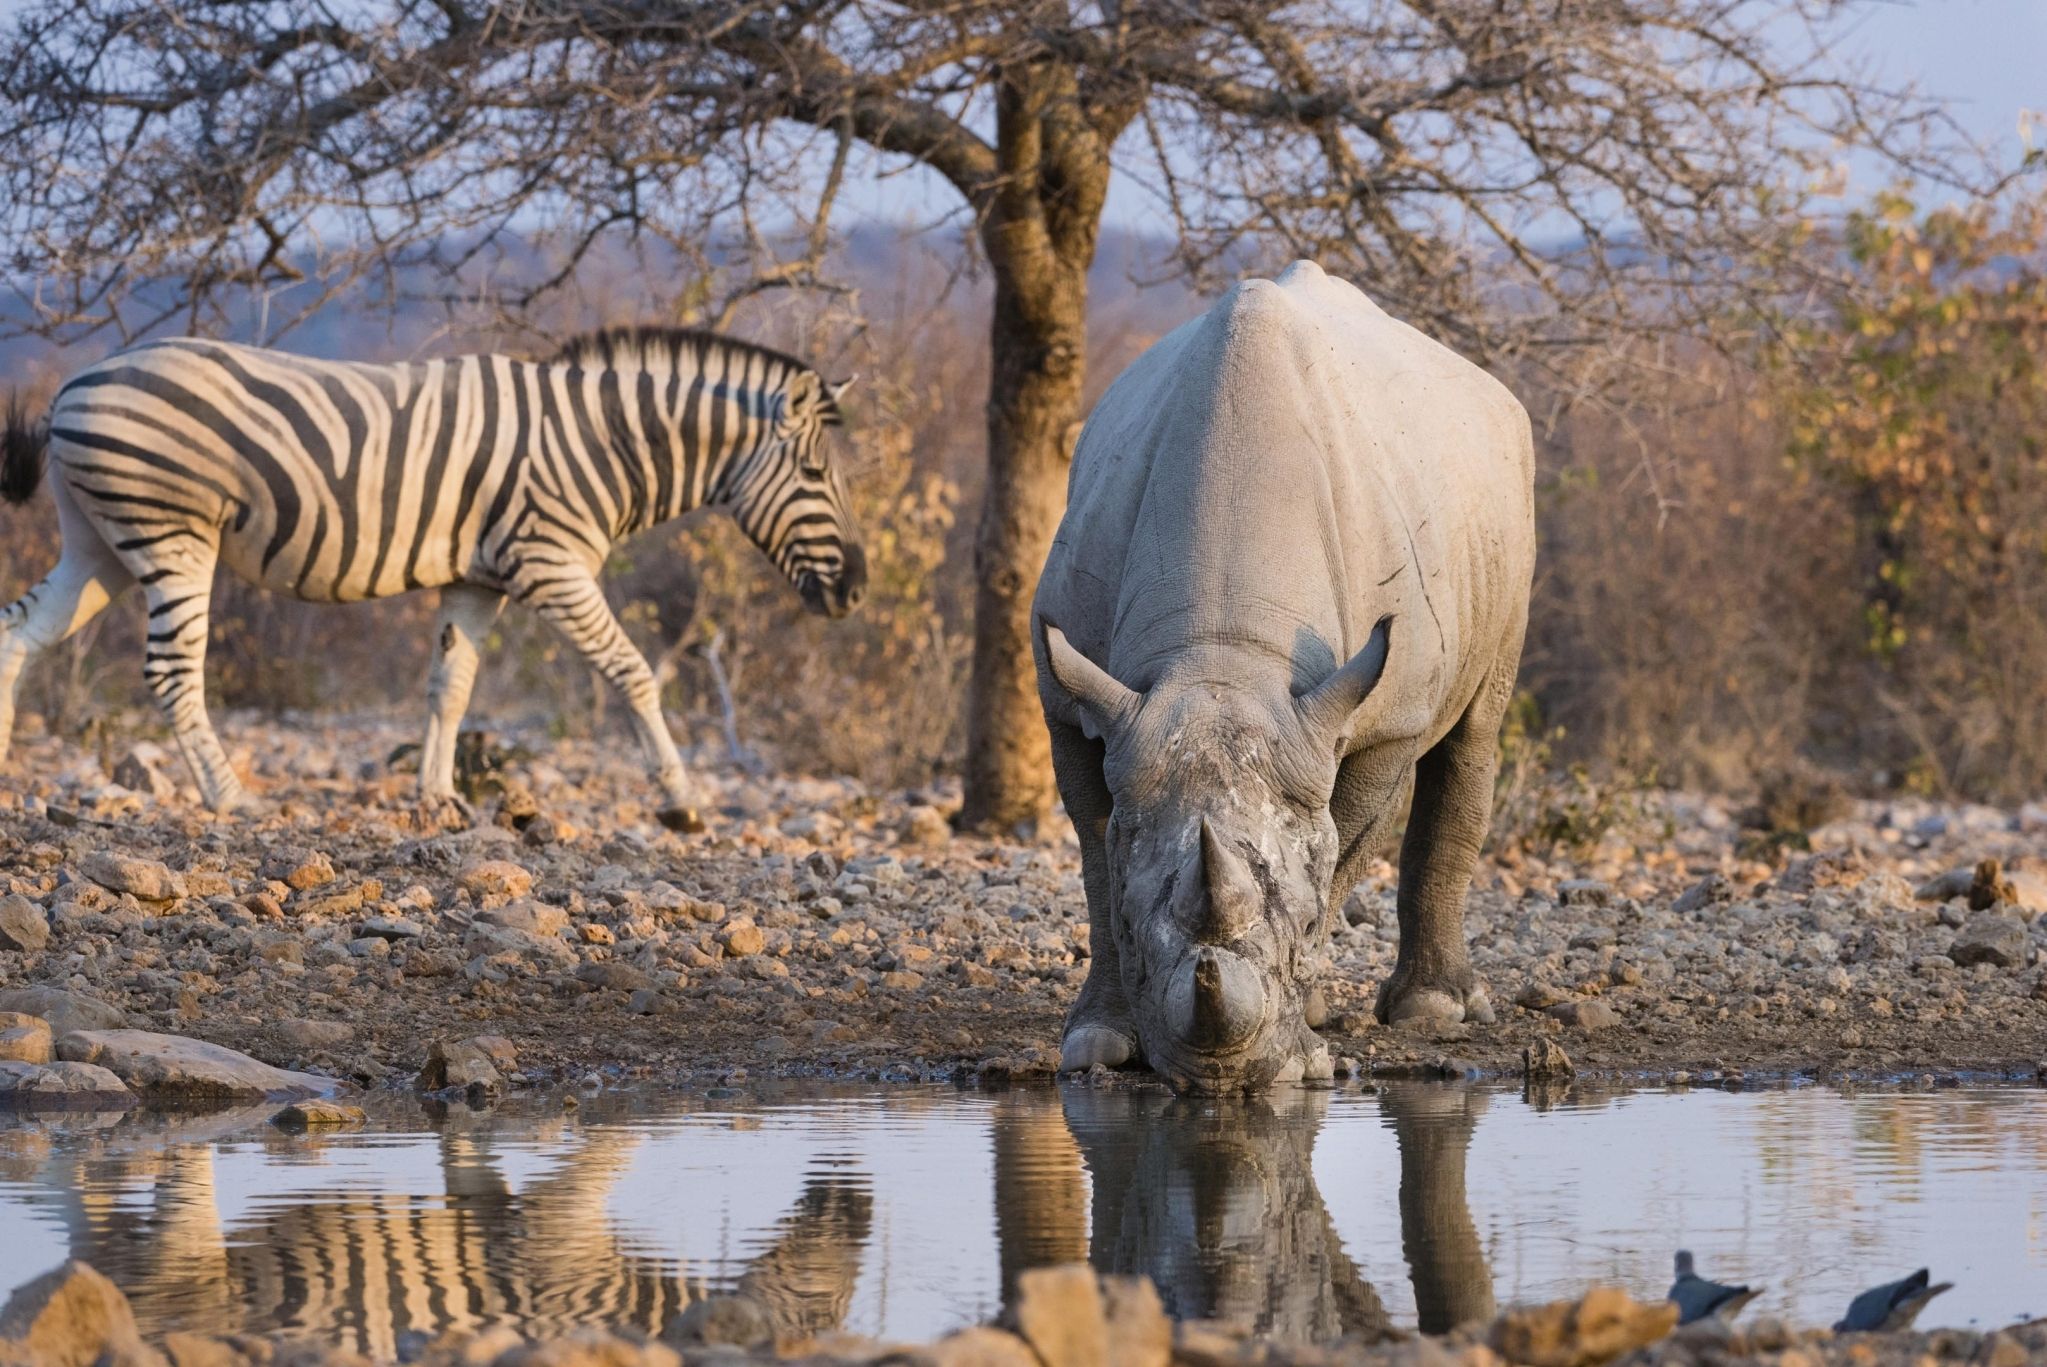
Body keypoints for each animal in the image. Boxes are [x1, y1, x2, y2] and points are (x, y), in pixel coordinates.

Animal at [0, 325, 863, 826]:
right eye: (817, 476)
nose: (855, 591)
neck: (603, 442)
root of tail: (75, 383)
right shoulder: (550, 564)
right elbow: (634, 671)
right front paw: (680, 800)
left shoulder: (479, 579)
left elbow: (450, 686)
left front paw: (436, 797)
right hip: (170, 532)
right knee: (171, 670)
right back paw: (231, 797)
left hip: (100, 543)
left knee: (17, 633)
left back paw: (6, 769)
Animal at [1031, 255, 1531, 1088]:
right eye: (1138, 933)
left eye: (1296, 929)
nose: (1220, 1080)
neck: (1222, 652)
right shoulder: (1074, 701)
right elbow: (1099, 859)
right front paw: (1100, 1038)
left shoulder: (1376, 717)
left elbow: (1340, 848)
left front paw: (1304, 1037)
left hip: (1507, 500)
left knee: (1474, 730)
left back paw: (1432, 1010)